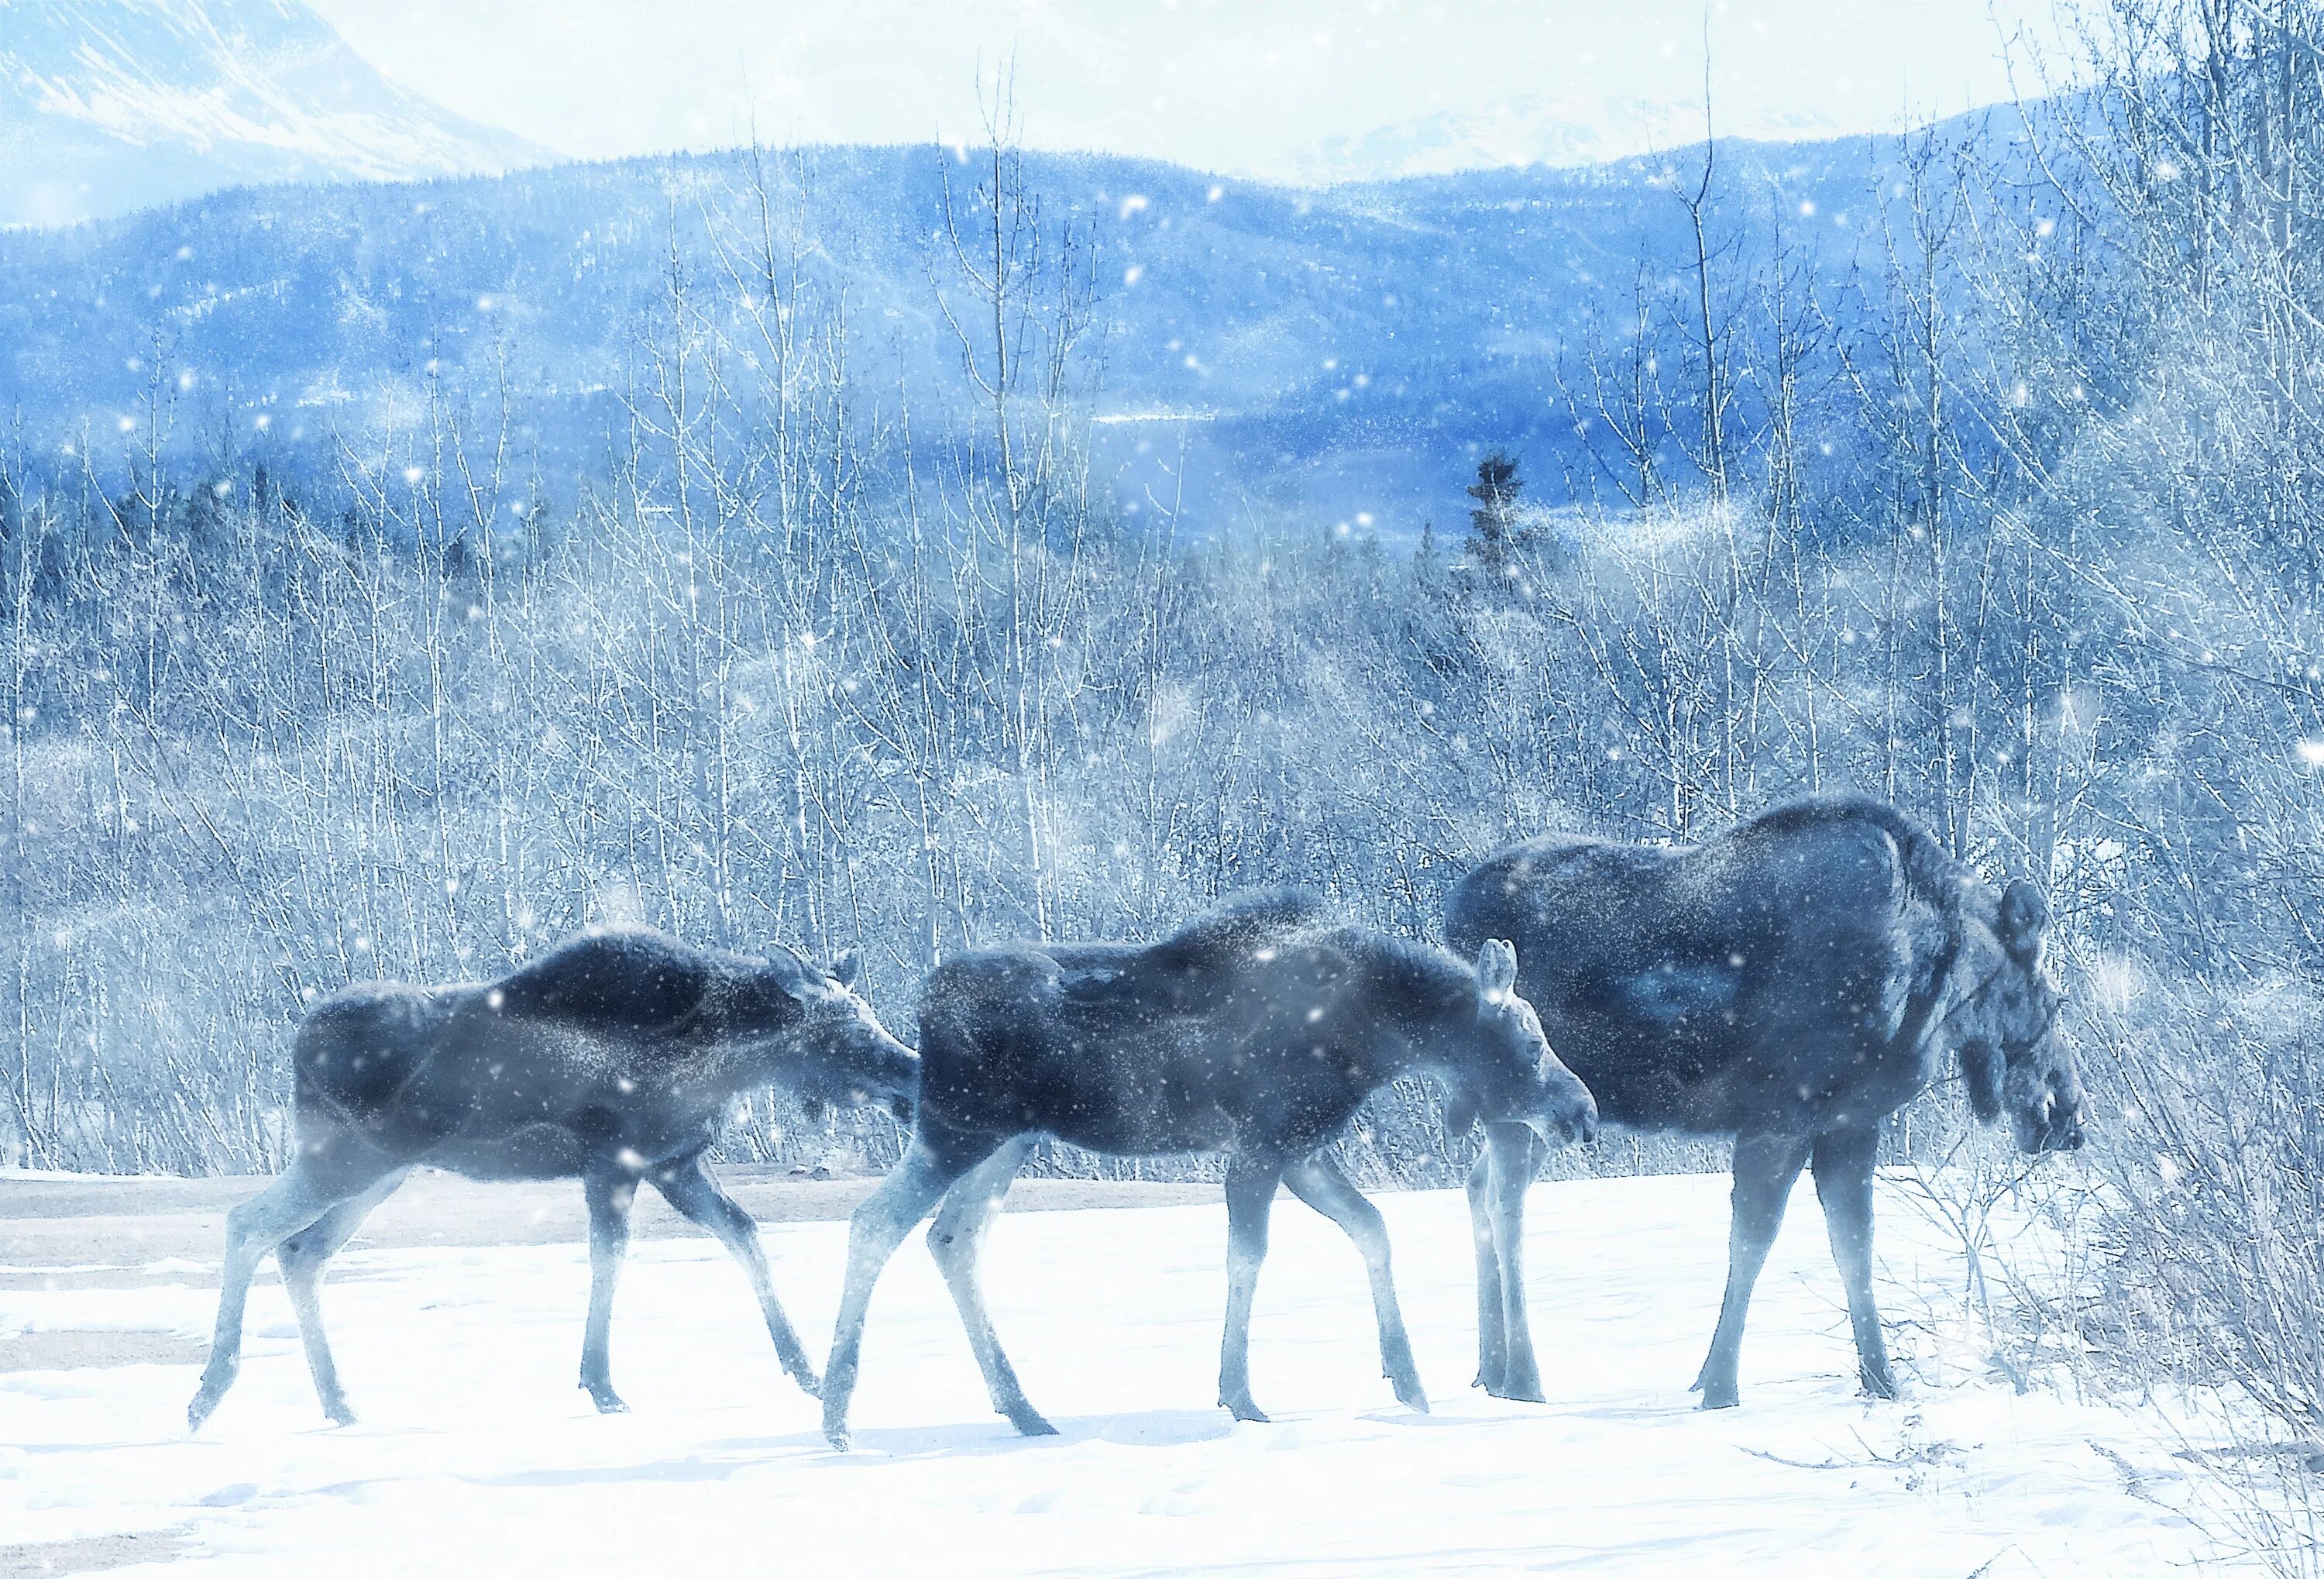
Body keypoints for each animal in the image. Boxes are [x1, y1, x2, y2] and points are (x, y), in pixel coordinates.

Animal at [188, 925, 916, 1432]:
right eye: (846, 1028)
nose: (913, 1074)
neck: (722, 1058)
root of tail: (298, 1042)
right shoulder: (614, 1160)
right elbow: (610, 1257)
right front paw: (603, 1386)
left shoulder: (676, 1163)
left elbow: (744, 1234)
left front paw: (806, 1371)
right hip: (346, 1159)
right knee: (248, 1223)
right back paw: (210, 1392)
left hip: (379, 1174)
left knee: (300, 1252)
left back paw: (338, 1402)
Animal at [818, 888, 1599, 1441]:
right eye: (1532, 1041)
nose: (1583, 1112)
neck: (1378, 1042)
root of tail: (922, 1001)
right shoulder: (1262, 1145)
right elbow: (1248, 1256)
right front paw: (1242, 1394)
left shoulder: (1303, 1148)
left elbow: (1372, 1229)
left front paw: (1406, 1379)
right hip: (957, 1126)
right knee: (875, 1222)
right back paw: (836, 1414)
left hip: (1007, 1139)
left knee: (952, 1238)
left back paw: (1023, 1409)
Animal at [1450, 804, 2092, 1404]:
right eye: (2056, 1000)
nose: (2070, 1115)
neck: (1935, 985)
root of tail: (1451, 915)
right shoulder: (1781, 1115)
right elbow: (1754, 1239)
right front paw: (1718, 1387)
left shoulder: (1851, 1121)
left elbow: (1854, 1246)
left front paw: (1882, 1381)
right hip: (1517, 1098)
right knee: (1508, 1206)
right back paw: (1523, 1377)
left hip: (1546, 1113)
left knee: (1478, 1187)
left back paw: (1488, 1371)